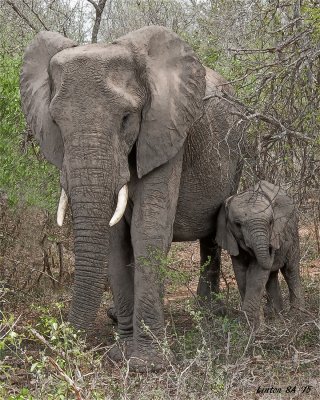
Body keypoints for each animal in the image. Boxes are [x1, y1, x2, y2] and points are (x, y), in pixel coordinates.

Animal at [21, 25, 244, 372]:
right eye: (56, 123)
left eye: (127, 118)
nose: (64, 346)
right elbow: (116, 241)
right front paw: (121, 353)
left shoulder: (167, 131)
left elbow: (147, 230)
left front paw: (147, 363)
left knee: (215, 231)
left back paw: (207, 312)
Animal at [216, 180, 304, 324]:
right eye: (237, 224)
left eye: (271, 222)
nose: (272, 246)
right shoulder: (233, 240)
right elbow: (240, 272)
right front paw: (250, 323)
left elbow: (256, 273)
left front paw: (251, 325)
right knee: (272, 276)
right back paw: (276, 316)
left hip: (293, 232)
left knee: (290, 269)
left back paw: (296, 316)